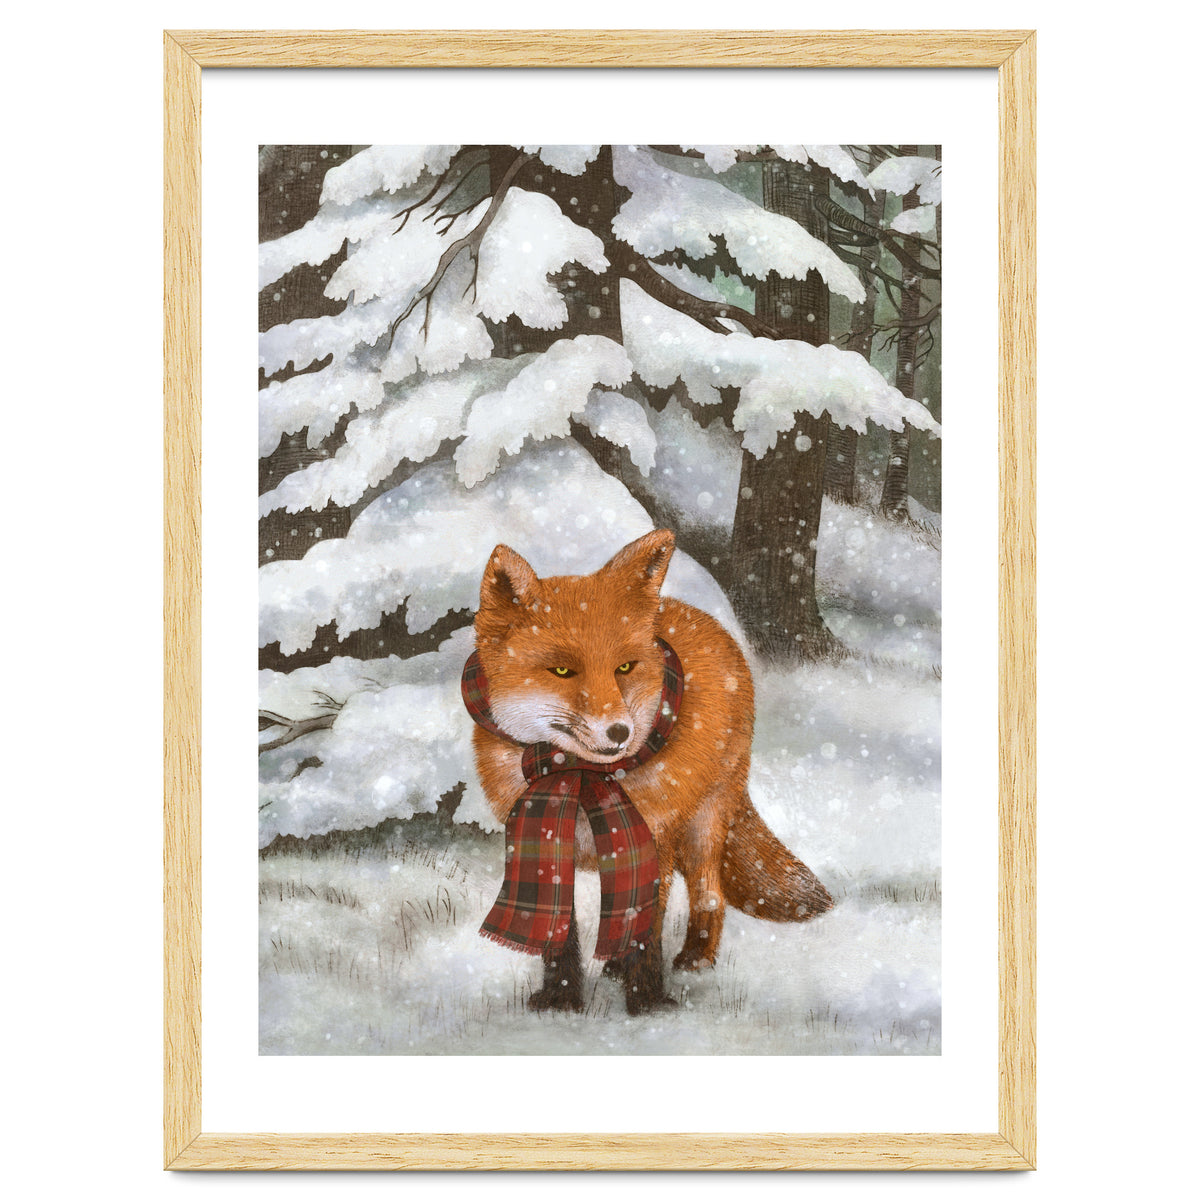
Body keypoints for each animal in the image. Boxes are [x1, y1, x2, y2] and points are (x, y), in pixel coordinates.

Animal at [469, 528, 833, 1015]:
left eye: (624, 667)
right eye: (562, 670)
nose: (619, 732)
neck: (579, 776)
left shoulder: (651, 838)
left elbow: (646, 930)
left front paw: (647, 1003)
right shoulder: (547, 838)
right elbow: (560, 931)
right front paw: (560, 1000)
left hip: (703, 825)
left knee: (709, 894)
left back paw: (695, 959)